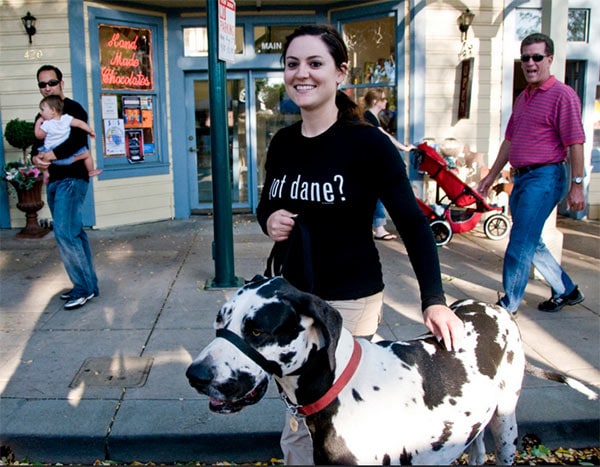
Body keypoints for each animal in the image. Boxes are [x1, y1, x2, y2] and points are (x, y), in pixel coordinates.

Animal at [188, 278, 596, 464]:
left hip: (506, 424)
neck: (340, 386)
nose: (195, 375)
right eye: (219, 321)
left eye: (258, 330)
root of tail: (497, 307)